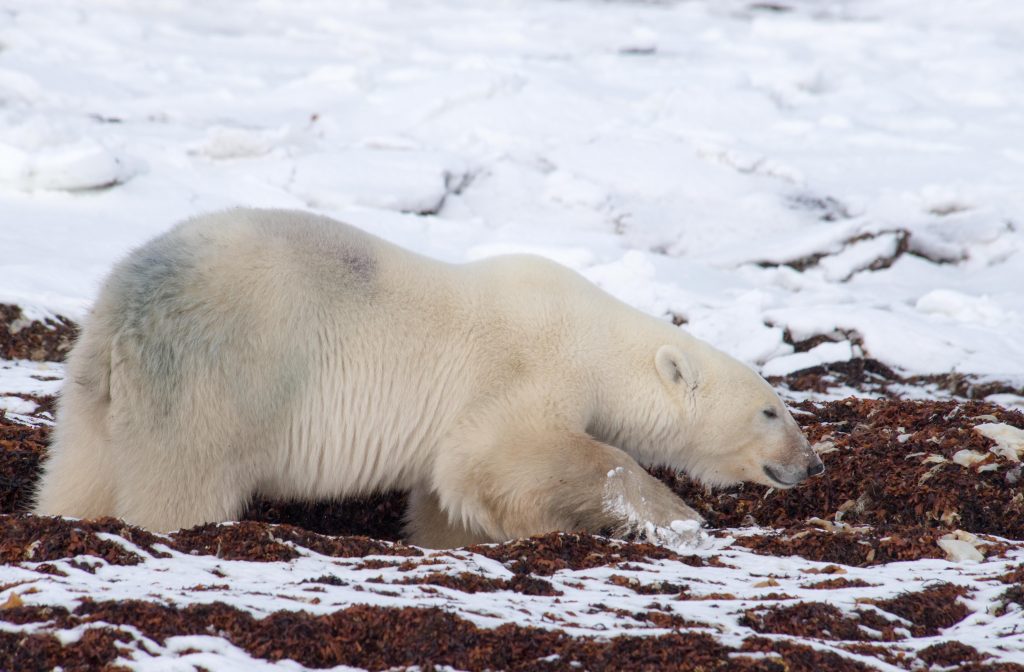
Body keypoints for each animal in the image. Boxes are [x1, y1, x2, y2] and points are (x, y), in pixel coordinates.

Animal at [34, 208, 823, 548]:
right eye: (771, 411)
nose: (812, 463)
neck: (595, 336)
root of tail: (132, 307)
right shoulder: (526, 370)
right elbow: (513, 457)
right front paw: (676, 517)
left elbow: (450, 487)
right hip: (221, 373)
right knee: (184, 475)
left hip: (99, 388)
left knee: (80, 466)